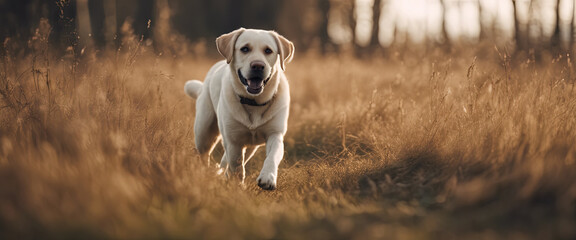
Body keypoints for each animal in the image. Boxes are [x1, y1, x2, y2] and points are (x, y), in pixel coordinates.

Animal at [183, 27, 292, 189]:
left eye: (268, 50)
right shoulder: (234, 140)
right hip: (204, 131)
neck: (253, 102)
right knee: (204, 155)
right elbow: (237, 165)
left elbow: (272, 156)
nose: (258, 65)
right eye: (244, 49)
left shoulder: (275, 133)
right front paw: (236, 186)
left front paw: (268, 178)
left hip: (250, 146)